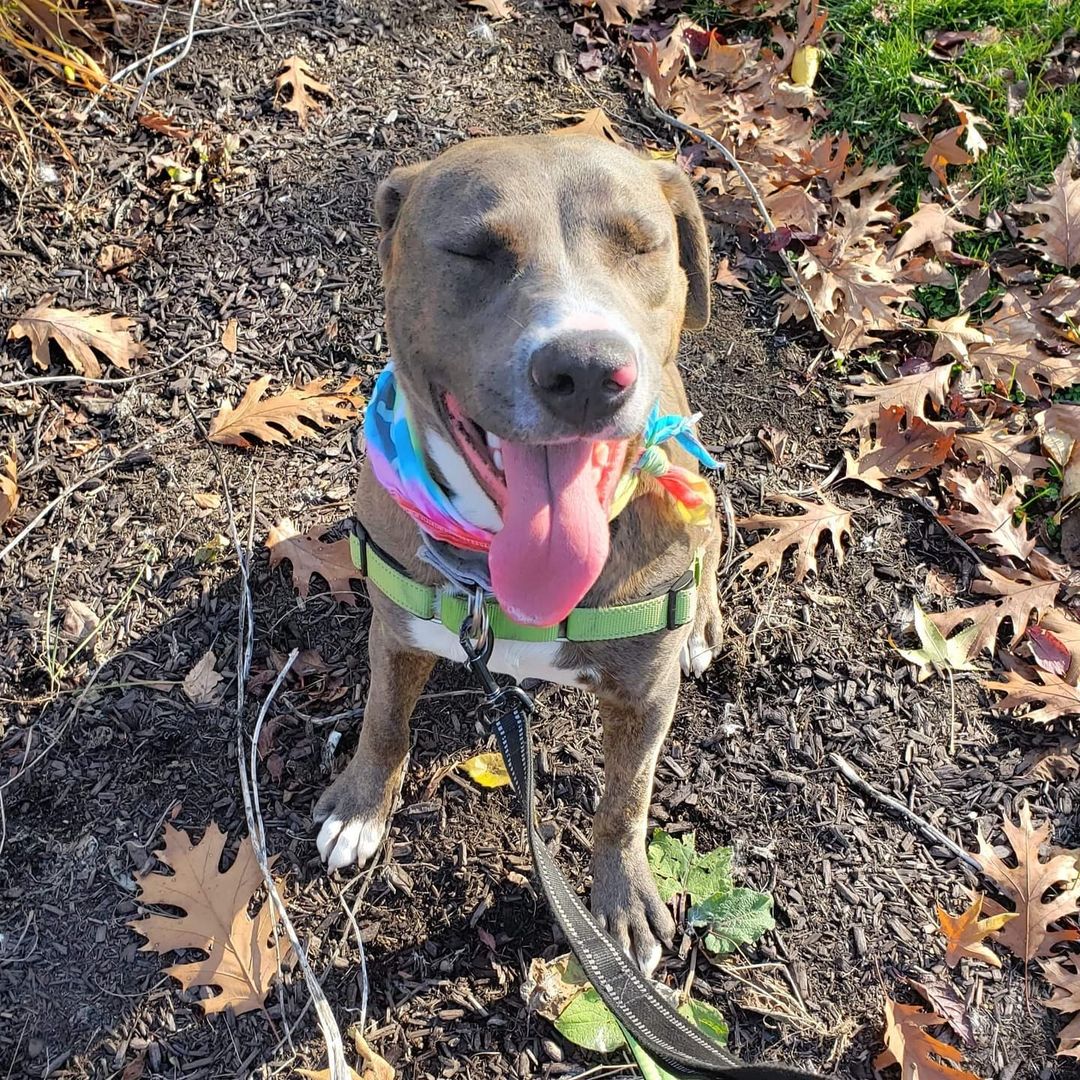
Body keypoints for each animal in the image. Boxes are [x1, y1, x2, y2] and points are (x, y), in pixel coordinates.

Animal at [315, 135, 721, 980]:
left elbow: (625, 801)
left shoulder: (645, 693)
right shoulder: (394, 631)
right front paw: (362, 806)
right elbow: (383, 721)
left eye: (642, 244)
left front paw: (620, 901)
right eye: (473, 251)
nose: (588, 370)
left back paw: (704, 624)